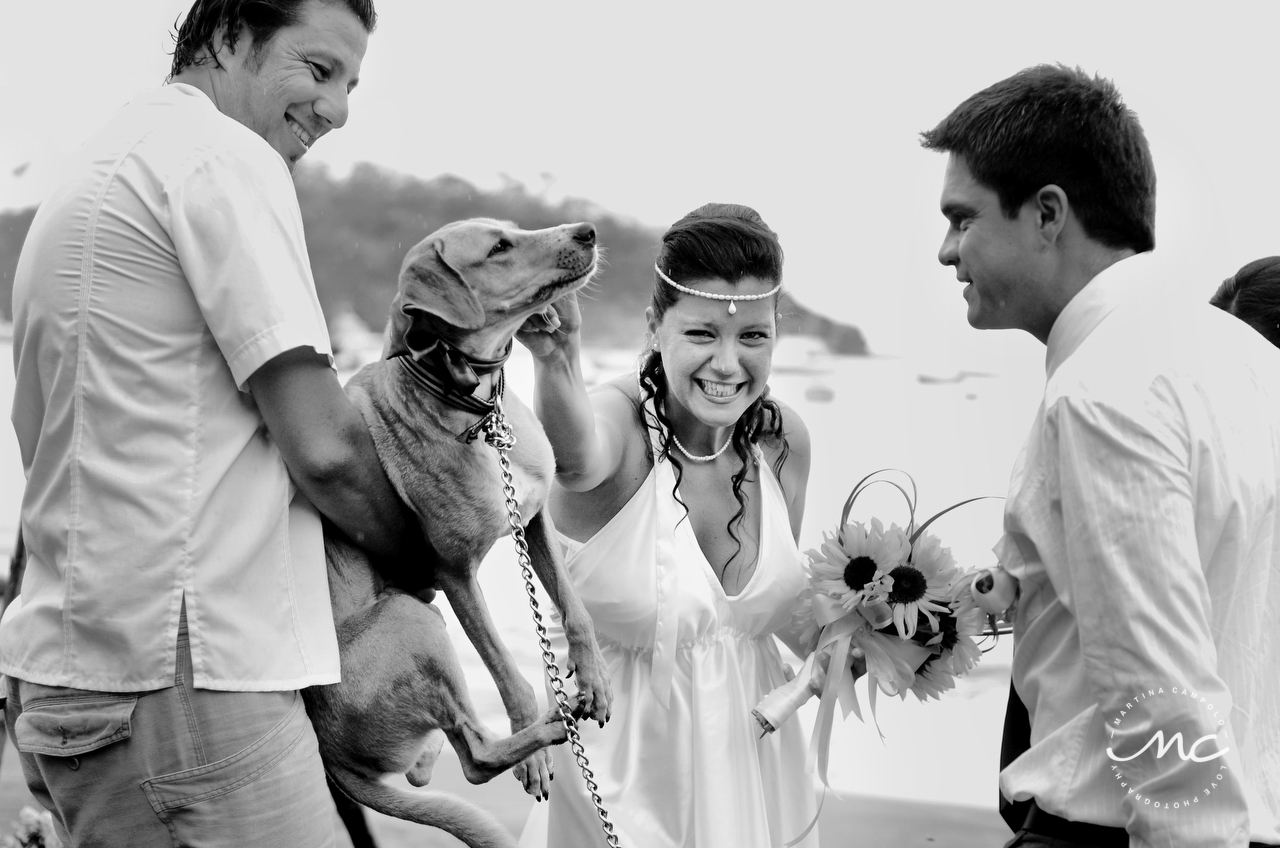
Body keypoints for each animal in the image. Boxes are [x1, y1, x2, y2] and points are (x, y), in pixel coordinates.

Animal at [304, 220, 614, 848]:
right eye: (498, 248)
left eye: (515, 229)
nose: (588, 229)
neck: (476, 406)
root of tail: (331, 758)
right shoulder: (456, 576)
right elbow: (508, 674)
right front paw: (535, 744)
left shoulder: (535, 520)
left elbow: (574, 609)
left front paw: (593, 675)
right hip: (414, 621)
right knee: (474, 760)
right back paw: (548, 730)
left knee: (441, 761)